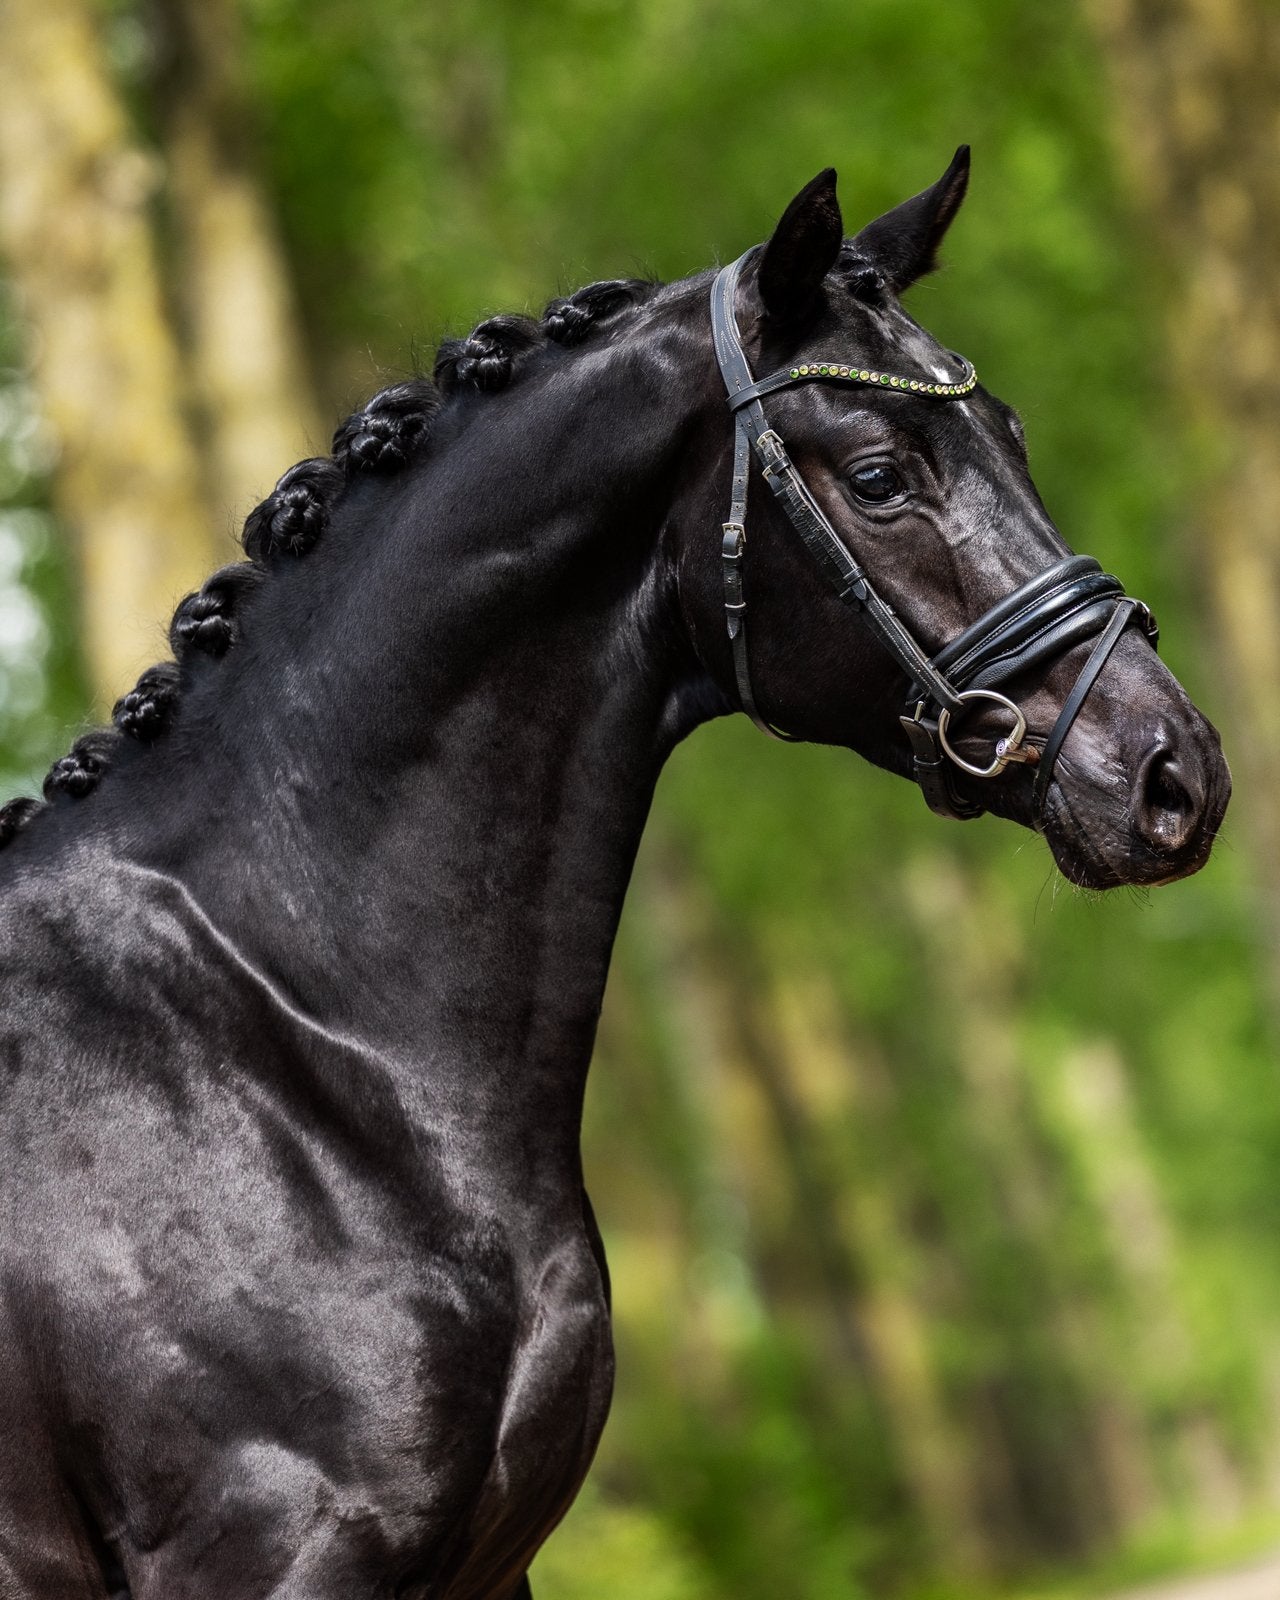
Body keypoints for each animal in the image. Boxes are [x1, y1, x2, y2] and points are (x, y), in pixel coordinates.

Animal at [0, 149, 1229, 1599]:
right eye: (879, 474)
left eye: (1016, 438)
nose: (1172, 772)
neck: (286, 1034)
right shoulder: (268, 1556)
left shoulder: (484, 1569)